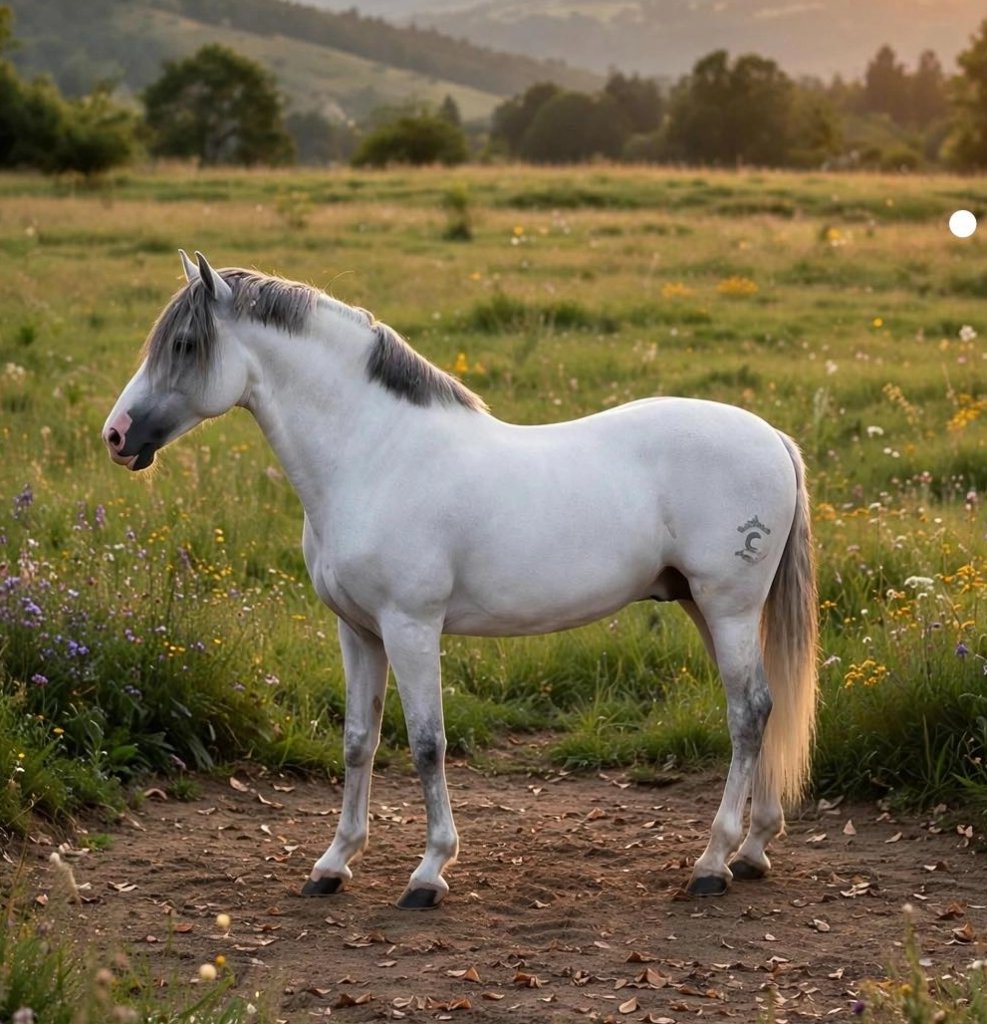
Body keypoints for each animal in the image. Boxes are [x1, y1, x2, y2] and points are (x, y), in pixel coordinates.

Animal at [103, 251, 818, 910]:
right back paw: (752, 849)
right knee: (764, 708)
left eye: (184, 345)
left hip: (727, 608)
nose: (115, 436)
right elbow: (359, 741)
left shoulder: (411, 626)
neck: (375, 456)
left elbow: (427, 743)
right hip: (703, 605)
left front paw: (429, 872)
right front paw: (334, 864)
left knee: (749, 713)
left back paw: (713, 862)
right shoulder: (357, 631)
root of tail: (774, 438)